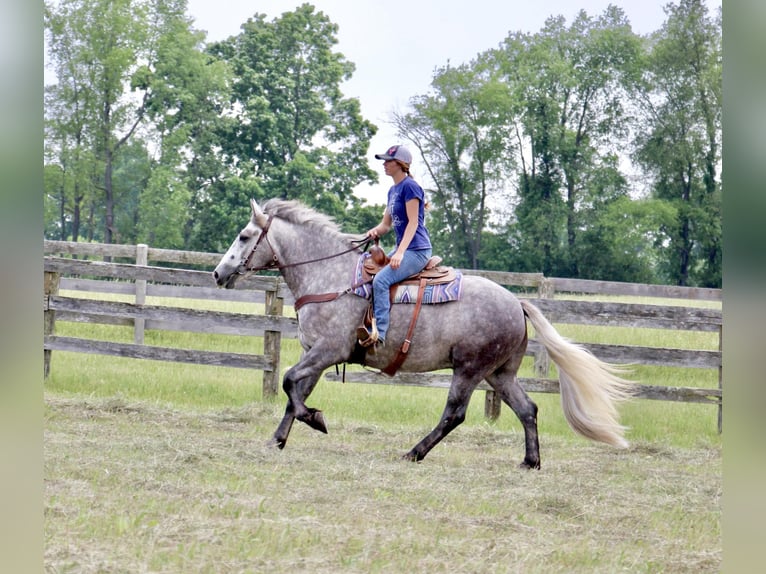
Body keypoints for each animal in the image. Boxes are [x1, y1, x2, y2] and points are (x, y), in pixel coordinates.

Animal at [213, 200, 632, 470]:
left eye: (244, 236)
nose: (218, 273)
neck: (331, 279)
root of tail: (517, 303)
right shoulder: (315, 352)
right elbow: (294, 392)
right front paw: (279, 438)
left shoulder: (329, 350)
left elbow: (287, 382)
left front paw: (315, 419)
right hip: (500, 373)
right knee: (527, 409)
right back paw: (530, 461)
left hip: (469, 369)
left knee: (455, 414)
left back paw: (414, 452)